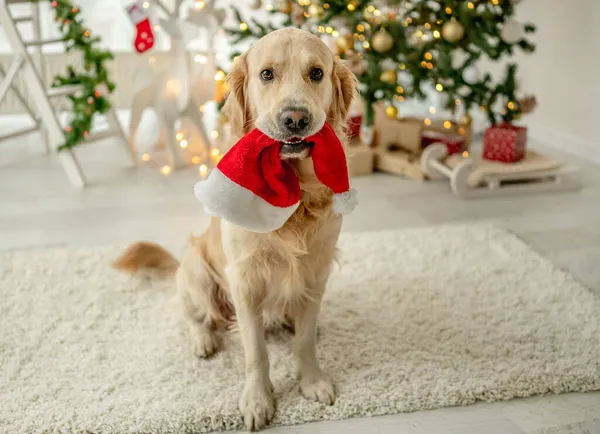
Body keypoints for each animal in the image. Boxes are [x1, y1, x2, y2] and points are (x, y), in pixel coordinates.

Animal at [112, 28, 356, 430]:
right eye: (267, 74)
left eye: (317, 73)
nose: (295, 119)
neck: (295, 193)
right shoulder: (244, 281)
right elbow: (256, 352)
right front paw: (258, 400)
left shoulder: (315, 272)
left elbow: (305, 341)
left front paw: (312, 380)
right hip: (196, 270)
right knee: (192, 314)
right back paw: (202, 340)